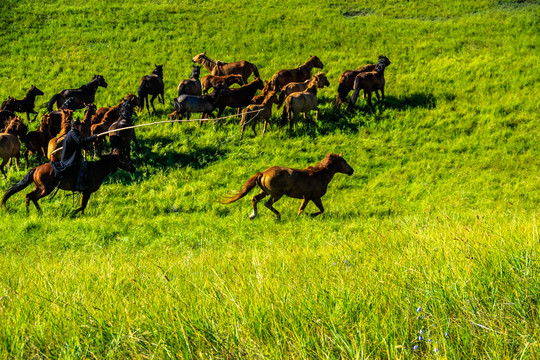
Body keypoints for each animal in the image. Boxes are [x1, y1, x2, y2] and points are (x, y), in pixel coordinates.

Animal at [1, 151, 135, 215]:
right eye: (122, 157)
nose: (132, 167)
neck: (97, 169)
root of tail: (36, 168)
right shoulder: (86, 192)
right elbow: (82, 206)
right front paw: (72, 212)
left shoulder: (85, 193)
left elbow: (83, 206)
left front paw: (81, 215)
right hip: (45, 189)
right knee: (33, 197)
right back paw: (39, 212)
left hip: (38, 187)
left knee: (28, 196)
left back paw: (30, 212)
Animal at [220, 153, 354, 219]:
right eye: (344, 161)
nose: (351, 171)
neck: (319, 175)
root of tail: (263, 173)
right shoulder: (309, 197)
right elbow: (302, 209)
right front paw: (305, 216)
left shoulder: (315, 198)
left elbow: (321, 209)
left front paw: (309, 215)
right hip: (276, 194)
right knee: (267, 203)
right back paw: (277, 216)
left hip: (266, 192)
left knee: (255, 199)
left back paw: (253, 215)